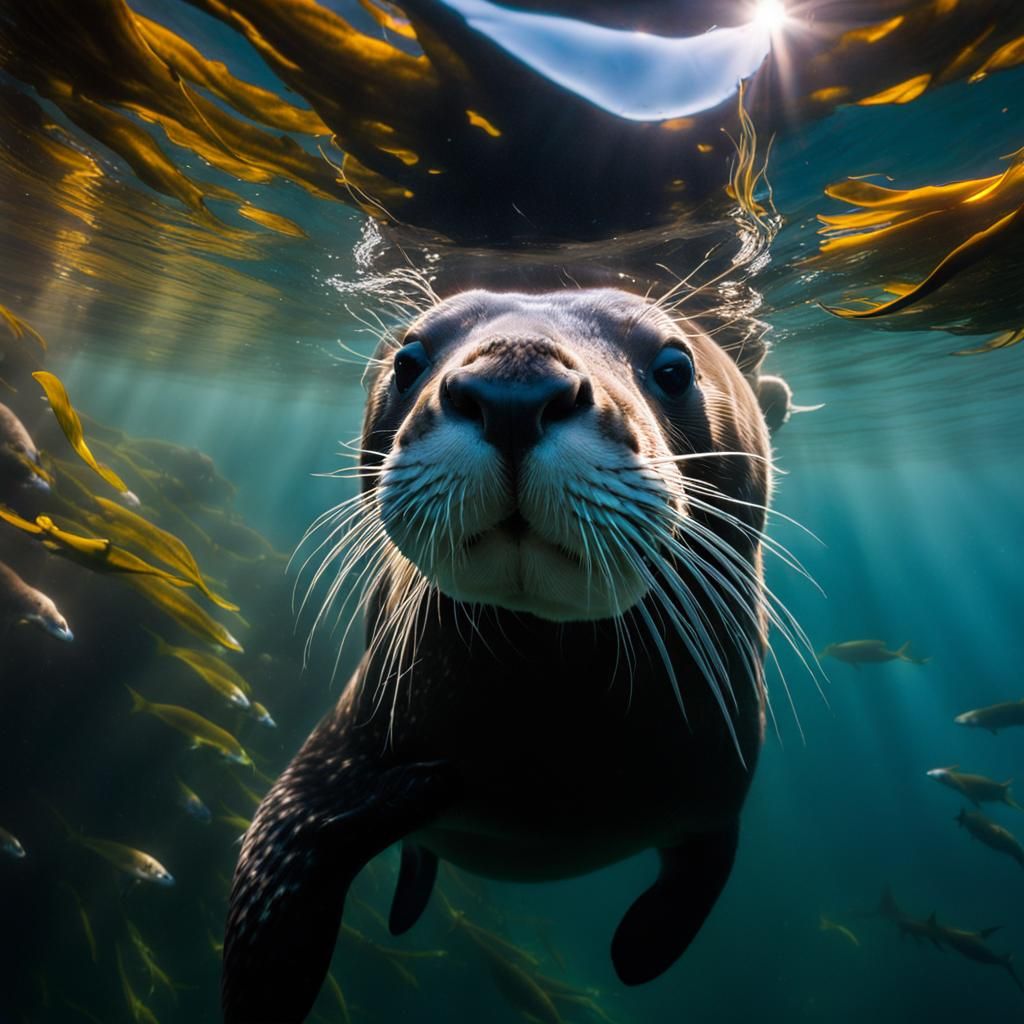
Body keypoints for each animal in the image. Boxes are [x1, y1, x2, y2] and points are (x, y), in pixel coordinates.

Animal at [223, 288, 779, 1022]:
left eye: (674, 368)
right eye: (408, 359)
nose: (514, 384)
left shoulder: (719, 800)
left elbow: (676, 912)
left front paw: (632, 954)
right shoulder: (334, 756)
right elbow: (269, 904)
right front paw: (419, 790)